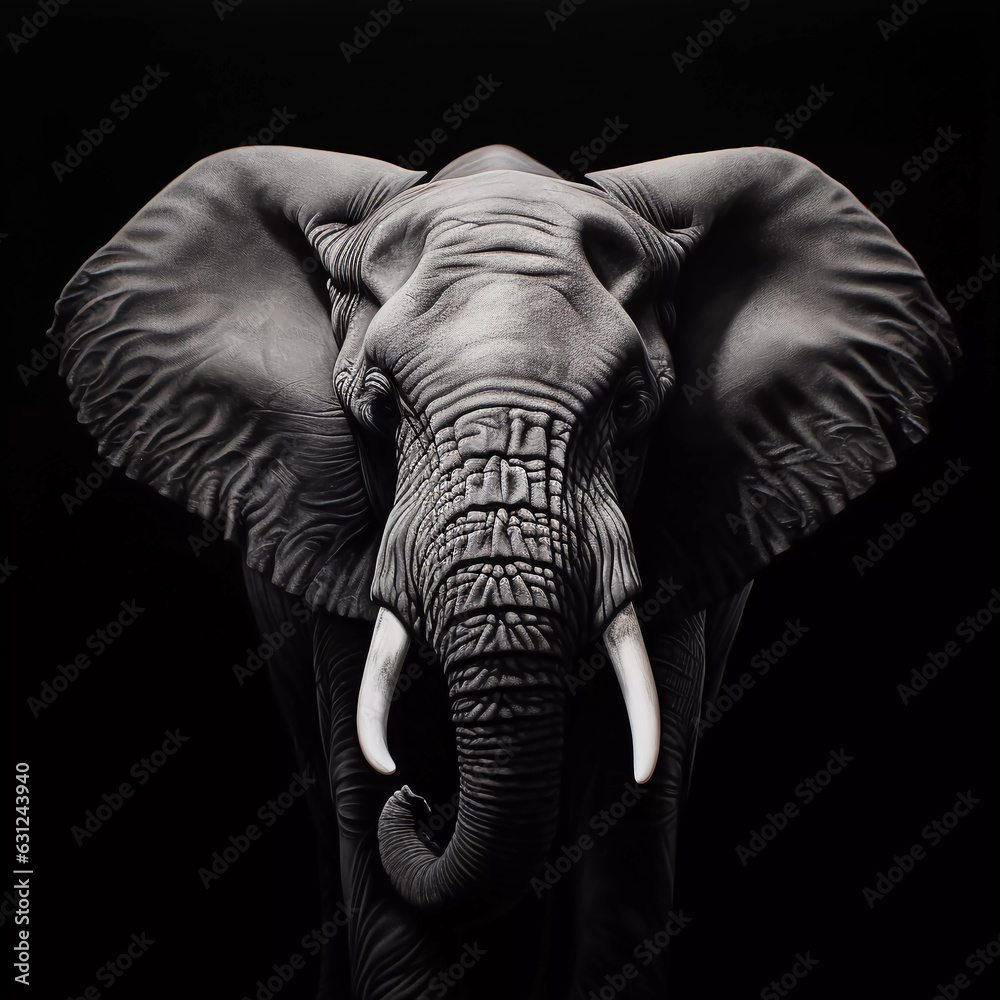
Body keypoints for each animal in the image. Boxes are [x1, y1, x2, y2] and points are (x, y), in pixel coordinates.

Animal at [51, 142, 958, 998]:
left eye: (631, 407)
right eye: (377, 407)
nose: (423, 802)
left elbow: (629, 819)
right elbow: (362, 806)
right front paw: (389, 795)